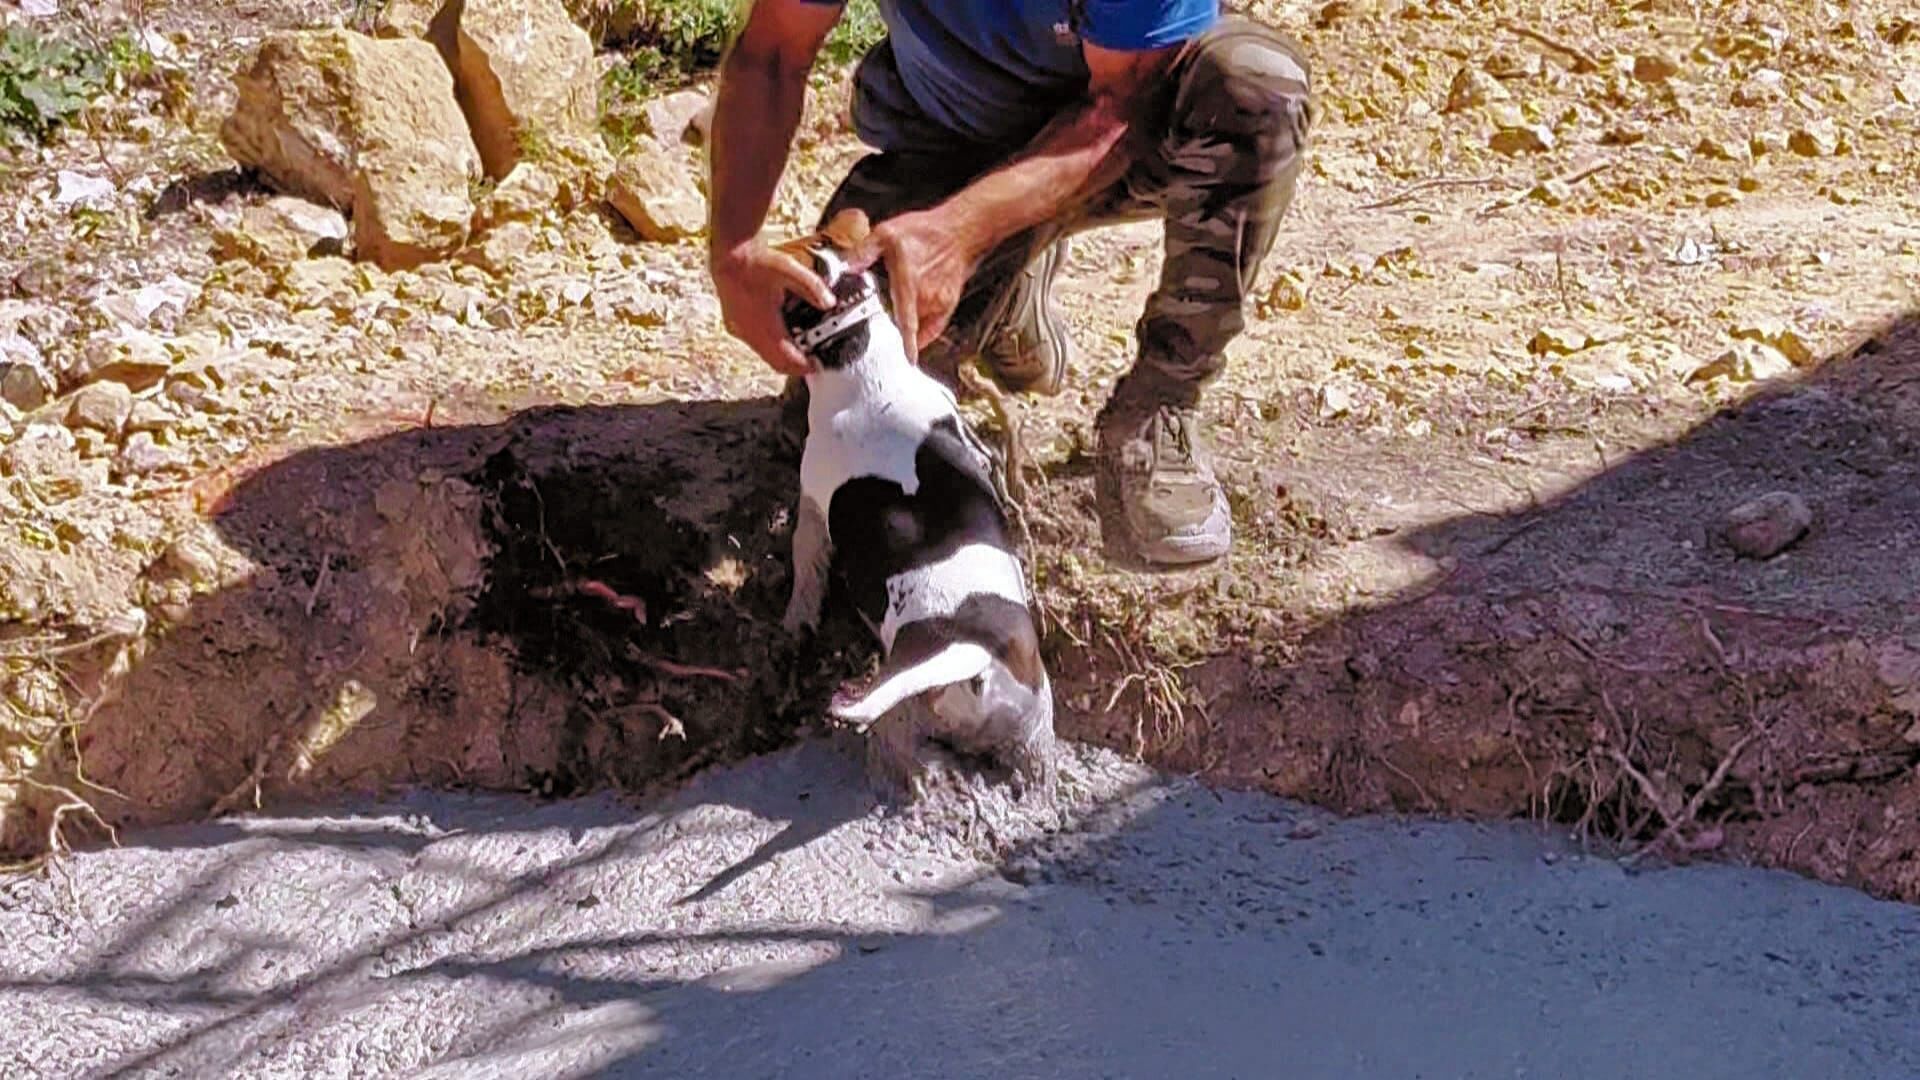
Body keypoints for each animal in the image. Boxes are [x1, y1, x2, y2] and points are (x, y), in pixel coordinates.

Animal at [771, 210, 1059, 787]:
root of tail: (975, 659)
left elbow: (805, 573)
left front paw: (795, 621)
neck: (866, 362)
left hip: (904, 702)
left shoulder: (812, 505)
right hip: (1034, 729)